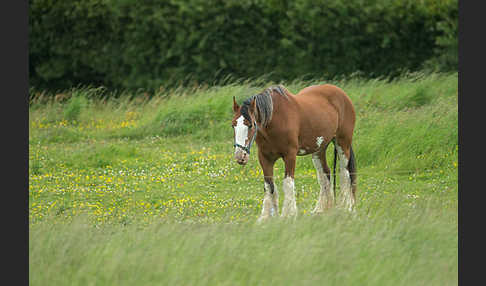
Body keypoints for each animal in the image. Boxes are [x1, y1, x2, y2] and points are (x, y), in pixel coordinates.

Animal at [232, 84, 356, 222]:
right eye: (233, 125)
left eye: (250, 125)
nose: (240, 156)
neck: (275, 119)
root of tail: (341, 93)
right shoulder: (264, 158)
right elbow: (269, 186)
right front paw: (266, 217)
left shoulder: (289, 155)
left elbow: (287, 183)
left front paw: (288, 214)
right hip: (319, 149)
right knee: (325, 175)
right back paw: (321, 210)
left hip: (343, 143)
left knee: (345, 174)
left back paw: (346, 208)